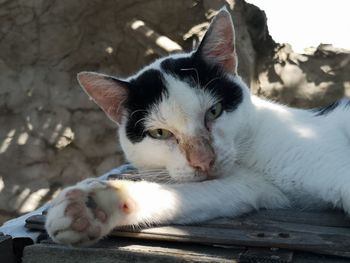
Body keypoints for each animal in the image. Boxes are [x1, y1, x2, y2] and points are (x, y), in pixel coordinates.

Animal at [43, 8, 350, 248]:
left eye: (214, 111)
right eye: (160, 133)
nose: (203, 160)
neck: (249, 154)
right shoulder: (250, 186)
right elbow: (182, 195)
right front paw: (90, 207)